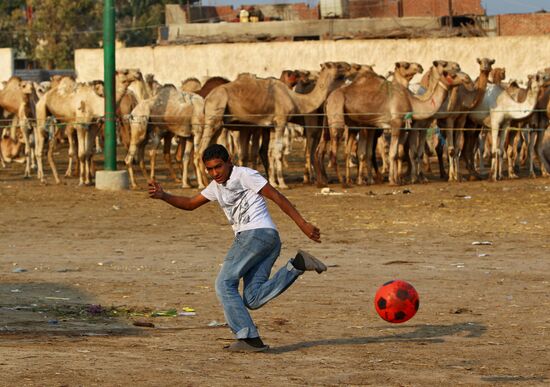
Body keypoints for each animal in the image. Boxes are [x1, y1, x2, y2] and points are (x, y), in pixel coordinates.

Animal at [202, 62, 350, 189]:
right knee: (201, 150)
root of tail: (207, 98)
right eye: (338, 65)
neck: (296, 99)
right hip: (214, 116)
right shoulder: (281, 121)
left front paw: (274, 182)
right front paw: (283, 183)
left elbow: (271, 151)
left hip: (220, 124)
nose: (349, 67)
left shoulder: (272, 126)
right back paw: (203, 183)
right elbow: (278, 152)